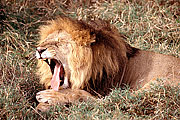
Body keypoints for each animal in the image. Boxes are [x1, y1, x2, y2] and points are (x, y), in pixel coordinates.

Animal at [35, 16, 180, 111]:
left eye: (60, 42)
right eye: (45, 41)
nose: (39, 49)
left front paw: (49, 99)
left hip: (157, 83)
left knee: (106, 102)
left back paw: (49, 97)